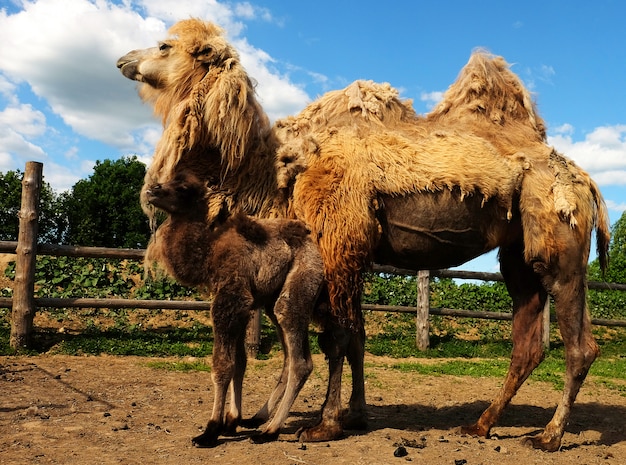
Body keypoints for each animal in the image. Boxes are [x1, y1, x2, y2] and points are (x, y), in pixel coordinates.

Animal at [144, 171, 322, 446]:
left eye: (183, 188)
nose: (152, 190)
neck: (209, 251)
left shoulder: (231, 298)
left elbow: (222, 365)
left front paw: (210, 430)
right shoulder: (242, 304)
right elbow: (240, 363)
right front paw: (232, 421)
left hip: (297, 288)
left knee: (300, 362)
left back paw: (269, 431)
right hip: (272, 303)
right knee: (291, 357)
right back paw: (259, 418)